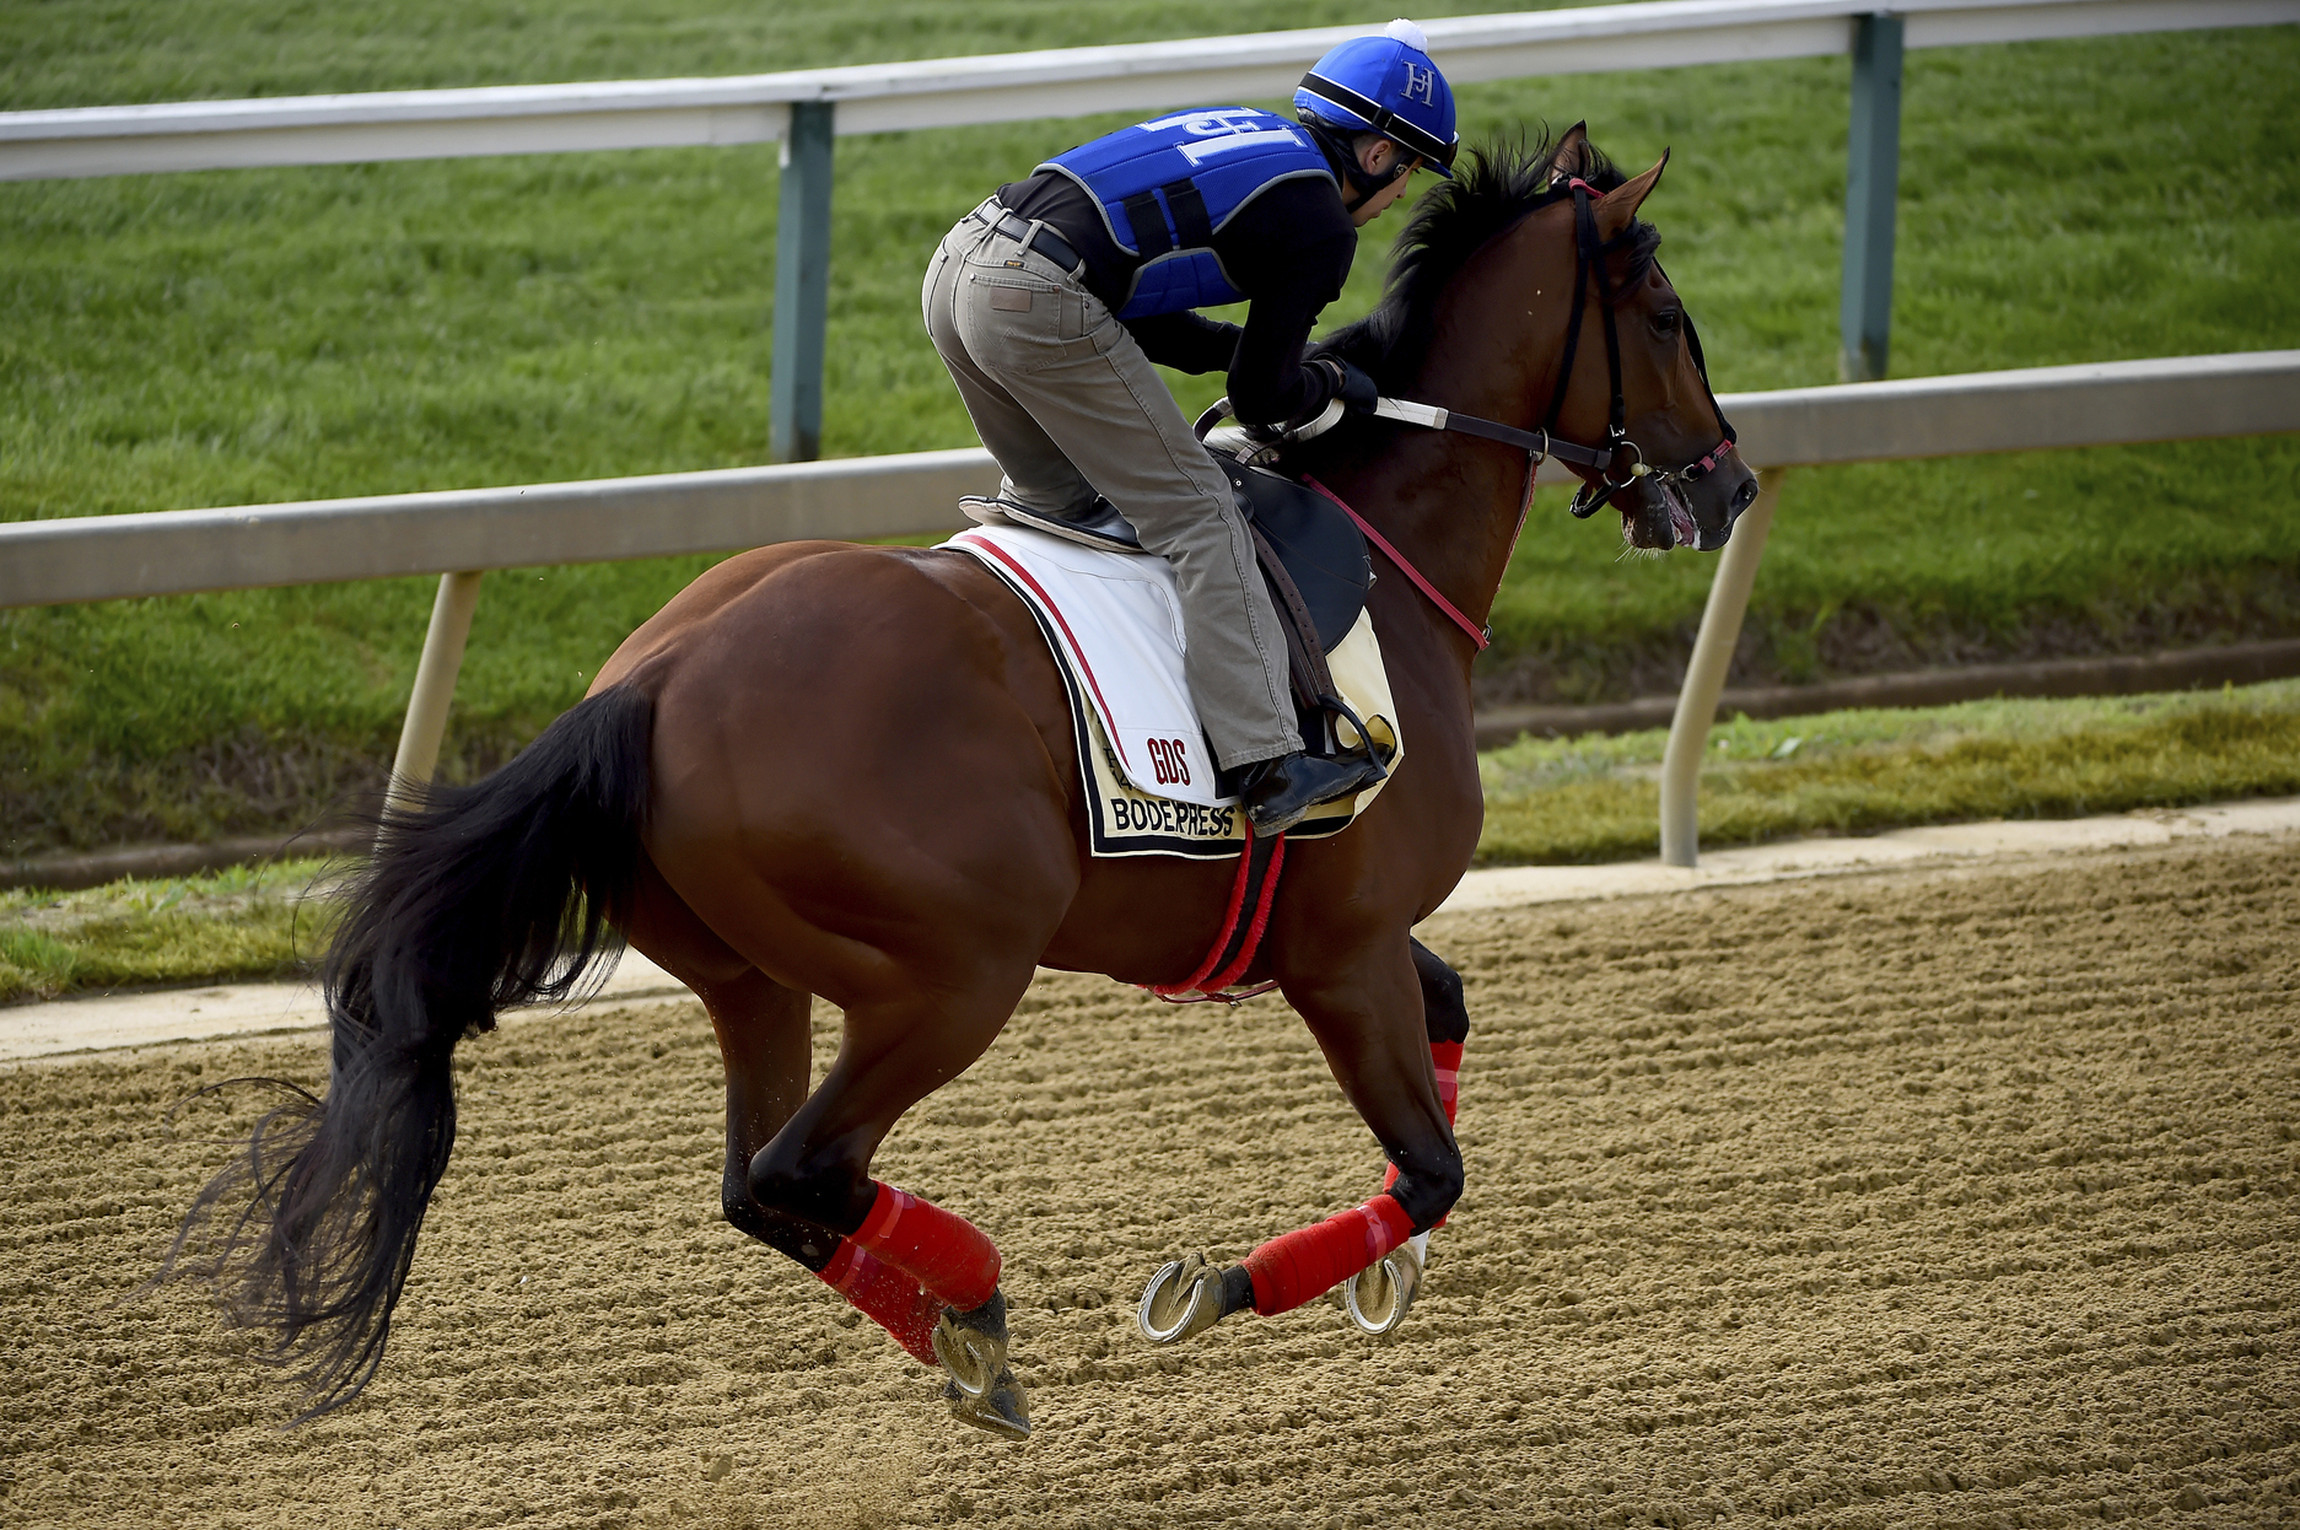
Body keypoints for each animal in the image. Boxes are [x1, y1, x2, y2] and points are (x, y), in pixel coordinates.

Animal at [170, 125, 1758, 1440]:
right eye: (1668, 318)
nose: (1732, 482)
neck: (1382, 546)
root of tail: (647, 685)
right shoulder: (1342, 947)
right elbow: (1433, 1162)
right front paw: (1220, 1284)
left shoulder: (1338, 937)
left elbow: (1453, 1026)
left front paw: (1388, 1275)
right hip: (953, 969)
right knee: (799, 1168)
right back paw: (981, 1306)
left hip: (753, 974)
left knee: (759, 1182)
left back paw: (968, 1341)